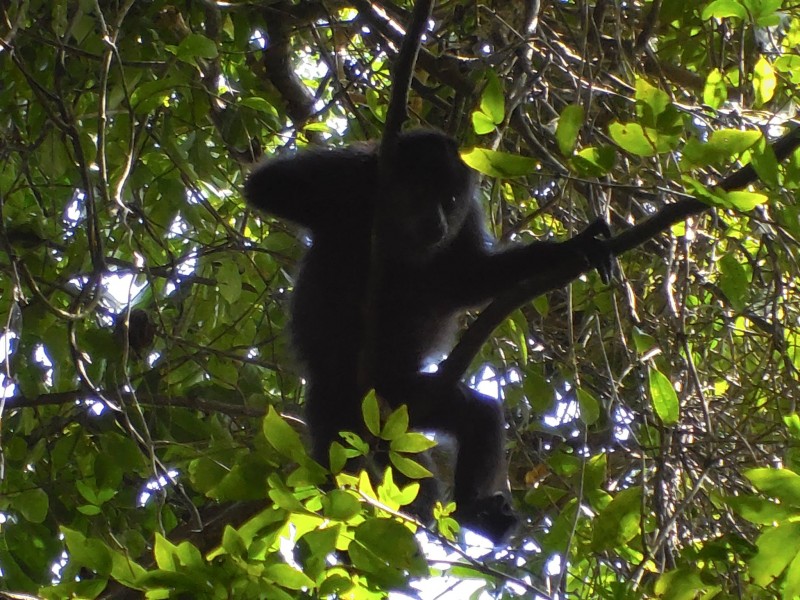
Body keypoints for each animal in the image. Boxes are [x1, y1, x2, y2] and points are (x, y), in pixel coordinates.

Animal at [245, 131, 612, 544]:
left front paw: (573, 247)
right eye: (420, 192)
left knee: (477, 413)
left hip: (408, 403)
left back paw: (473, 512)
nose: (437, 221)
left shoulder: (466, 219)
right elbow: (267, 185)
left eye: (449, 200)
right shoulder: (349, 170)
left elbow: (468, 277)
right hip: (343, 401)